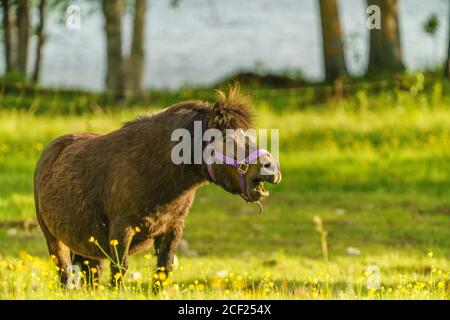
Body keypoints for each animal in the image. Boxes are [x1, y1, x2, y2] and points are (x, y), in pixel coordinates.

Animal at [35, 89, 280, 286]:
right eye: (228, 140)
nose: (271, 168)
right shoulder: (121, 230)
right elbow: (119, 272)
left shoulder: (172, 229)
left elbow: (163, 271)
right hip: (55, 241)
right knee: (65, 275)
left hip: (88, 247)